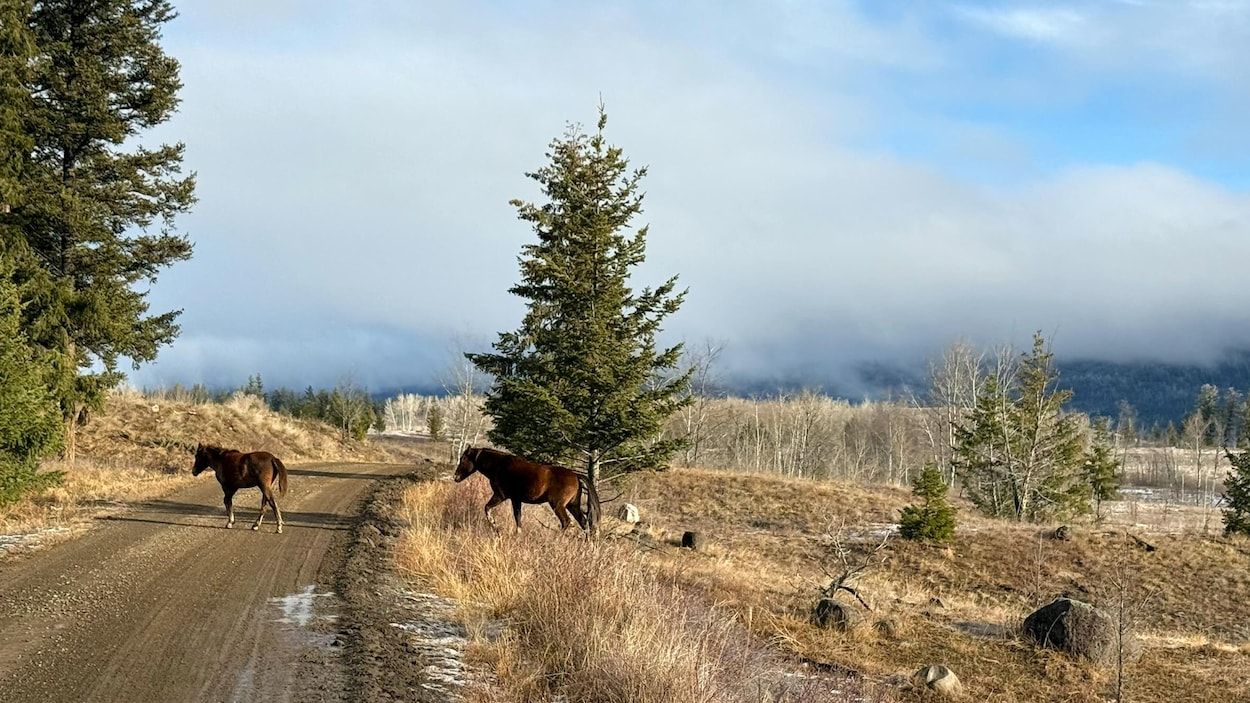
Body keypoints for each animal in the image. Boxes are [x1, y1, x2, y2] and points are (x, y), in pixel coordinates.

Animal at [454, 447, 587, 532]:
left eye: (463, 459)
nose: (455, 476)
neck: (499, 465)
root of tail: (576, 476)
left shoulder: (500, 495)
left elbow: (487, 508)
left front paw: (495, 526)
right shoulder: (516, 499)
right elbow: (518, 519)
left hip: (558, 505)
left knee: (566, 522)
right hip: (572, 505)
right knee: (583, 522)